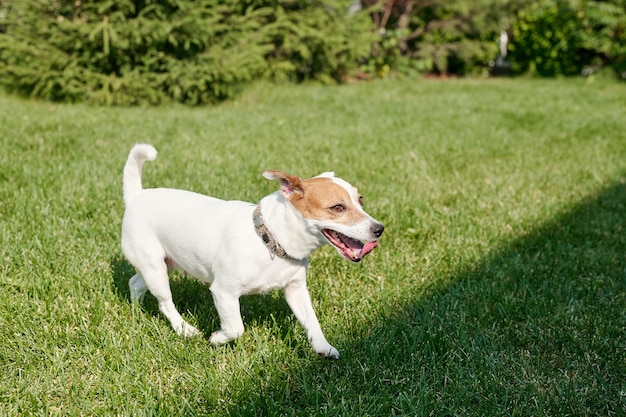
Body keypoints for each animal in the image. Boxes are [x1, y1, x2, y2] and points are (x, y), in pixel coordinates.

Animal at [117, 144, 380, 358]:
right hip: (155, 267)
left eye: (360, 200)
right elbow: (236, 328)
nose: (379, 229)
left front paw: (323, 347)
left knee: (135, 283)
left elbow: (311, 321)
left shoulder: (295, 289)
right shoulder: (224, 292)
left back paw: (136, 310)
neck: (270, 239)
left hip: (165, 263)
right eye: (337, 207)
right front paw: (217, 338)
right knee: (165, 302)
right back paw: (184, 329)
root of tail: (137, 197)